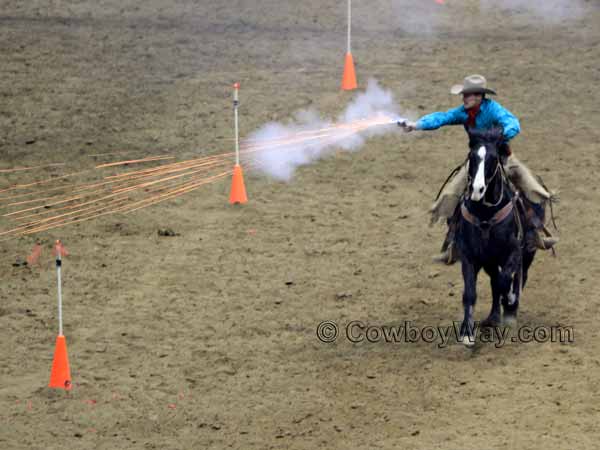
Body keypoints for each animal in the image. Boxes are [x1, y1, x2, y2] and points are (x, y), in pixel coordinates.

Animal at [454, 128, 540, 346]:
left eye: (493, 159)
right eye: (472, 157)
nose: (477, 190)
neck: (485, 216)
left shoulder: (514, 252)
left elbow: (505, 280)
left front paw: (510, 299)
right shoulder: (469, 257)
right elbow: (470, 293)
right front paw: (467, 332)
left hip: (527, 254)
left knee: (519, 276)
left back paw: (510, 309)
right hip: (489, 261)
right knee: (494, 282)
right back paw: (493, 317)